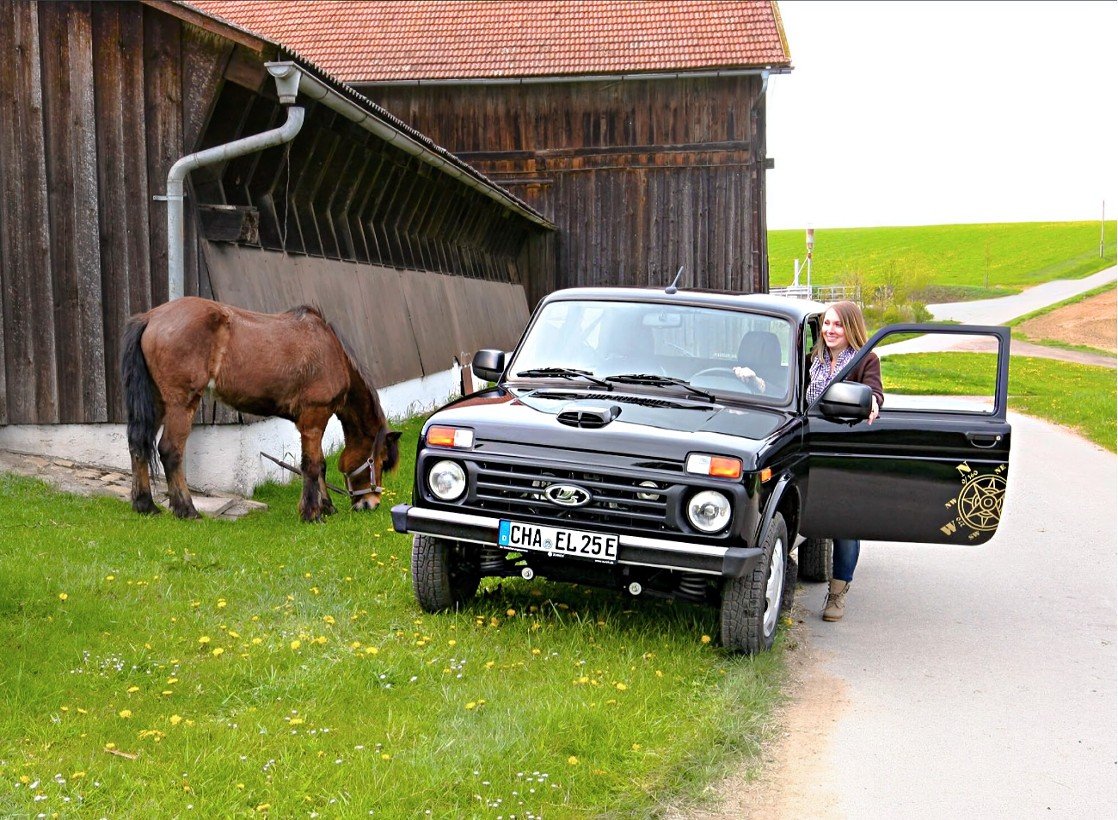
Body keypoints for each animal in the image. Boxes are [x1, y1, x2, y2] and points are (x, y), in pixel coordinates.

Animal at [120, 297, 400, 521]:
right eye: (381, 461)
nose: (372, 503)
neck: (331, 353)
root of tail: (150, 317)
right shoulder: (314, 418)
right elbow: (312, 465)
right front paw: (312, 513)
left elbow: (320, 466)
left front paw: (326, 507)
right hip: (181, 403)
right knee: (170, 450)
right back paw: (187, 510)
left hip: (157, 401)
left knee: (138, 444)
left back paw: (146, 505)